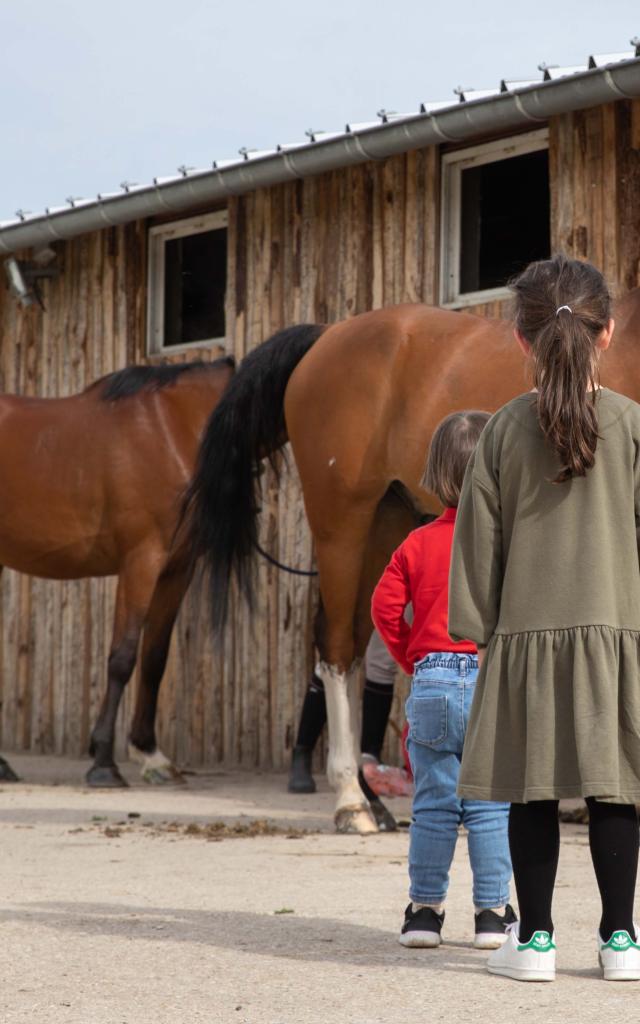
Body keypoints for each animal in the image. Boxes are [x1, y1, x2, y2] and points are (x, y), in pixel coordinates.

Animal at [0, 356, 232, 786]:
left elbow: (155, 657)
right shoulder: (141, 561)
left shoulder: (177, 569)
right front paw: (104, 762)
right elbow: (122, 657)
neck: (175, 427)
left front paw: (152, 755)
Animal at [184, 284, 640, 827]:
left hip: (386, 525)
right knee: (336, 647)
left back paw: (373, 798)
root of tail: (327, 336)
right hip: (343, 525)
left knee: (354, 638)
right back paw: (351, 800)